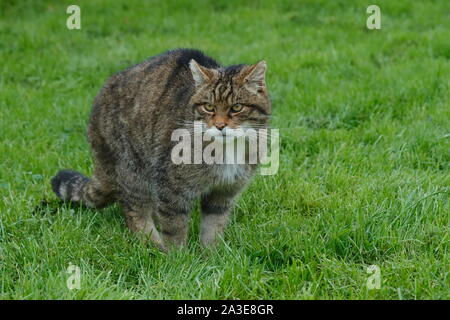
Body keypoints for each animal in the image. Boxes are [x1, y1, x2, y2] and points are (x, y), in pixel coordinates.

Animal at [52, 48, 270, 251]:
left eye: (237, 107)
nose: (219, 125)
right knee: (134, 211)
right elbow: (174, 227)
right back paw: (153, 245)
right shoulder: (171, 188)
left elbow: (213, 226)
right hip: (133, 170)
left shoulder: (223, 193)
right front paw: (178, 258)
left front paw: (211, 255)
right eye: (209, 107)